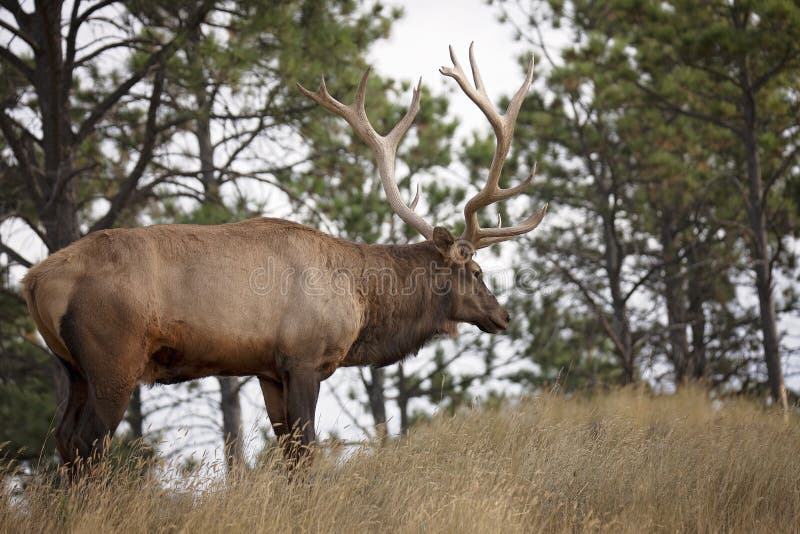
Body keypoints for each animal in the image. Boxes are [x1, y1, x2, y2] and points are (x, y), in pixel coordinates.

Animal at [21, 44, 548, 466]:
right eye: (476, 270)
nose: (503, 316)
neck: (361, 303)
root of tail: (33, 281)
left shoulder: (266, 369)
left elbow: (290, 452)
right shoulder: (303, 357)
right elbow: (307, 451)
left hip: (72, 367)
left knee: (65, 439)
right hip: (113, 358)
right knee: (89, 444)